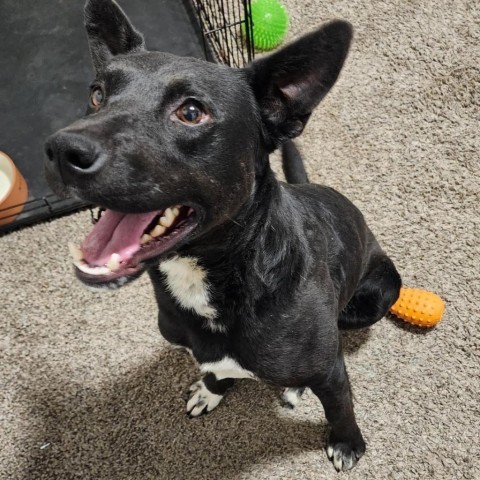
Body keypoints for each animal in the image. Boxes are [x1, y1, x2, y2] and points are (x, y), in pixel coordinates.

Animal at [46, 0, 402, 470]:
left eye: (191, 112)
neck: (219, 274)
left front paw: (347, 443)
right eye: (97, 94)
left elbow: (340, 405)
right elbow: (214, 370)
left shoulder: (330, 370)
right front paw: (211, 392)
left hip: (380, 293)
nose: (61, 151)